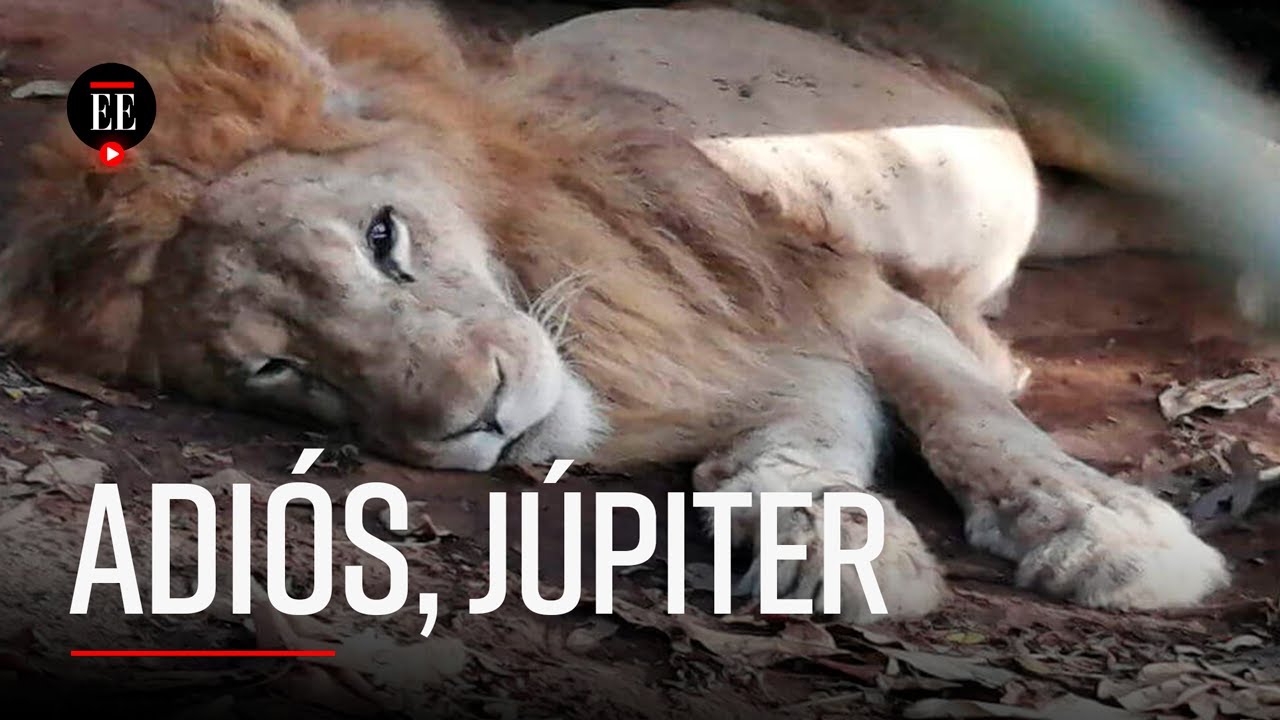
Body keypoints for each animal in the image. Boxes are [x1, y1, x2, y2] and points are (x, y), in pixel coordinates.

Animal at [0, 0, 1229, 622]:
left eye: (384, 239)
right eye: (278, 373)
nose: (481, 420)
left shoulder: (813, 285)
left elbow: (970, 414)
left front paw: (1108, 533)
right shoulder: (748, 353)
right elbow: (793, 443)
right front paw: (824, 539)